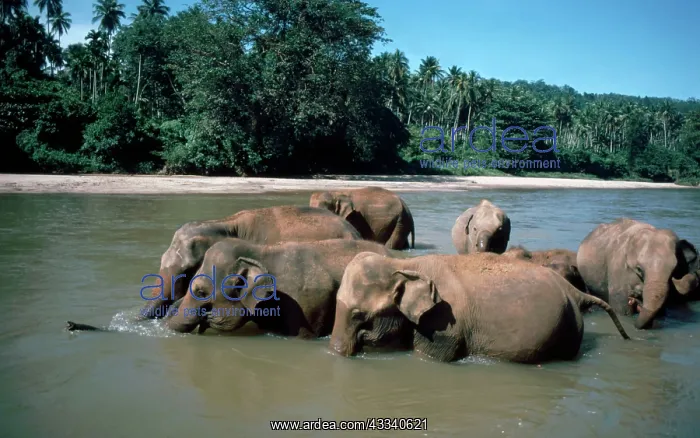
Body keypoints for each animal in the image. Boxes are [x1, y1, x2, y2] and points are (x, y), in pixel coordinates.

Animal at [329, 252, 630, 364]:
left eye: (359, 315)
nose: (334, 353)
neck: (404, 264)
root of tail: (574, 291)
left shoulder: (443, 326)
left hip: (569, 329)